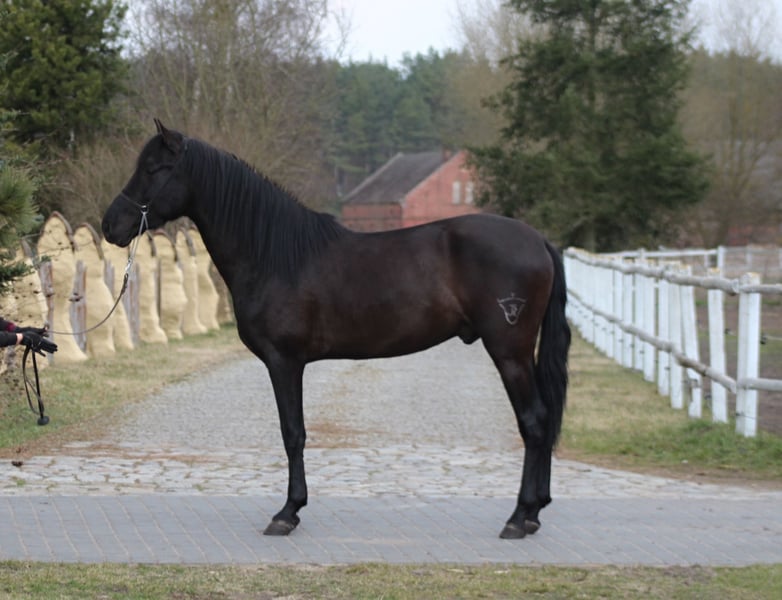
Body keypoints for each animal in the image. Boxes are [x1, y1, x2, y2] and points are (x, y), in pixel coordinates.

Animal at [102, 120, 571, 539]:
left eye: (154, 169)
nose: (110, 225)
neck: (274, 253)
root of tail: (539, 241)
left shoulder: (284, 362)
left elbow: (293, 433)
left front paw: (287, 512)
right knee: (545, 419)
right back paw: (534, 514)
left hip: (509, 351)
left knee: (534, 421)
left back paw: (518, 518)